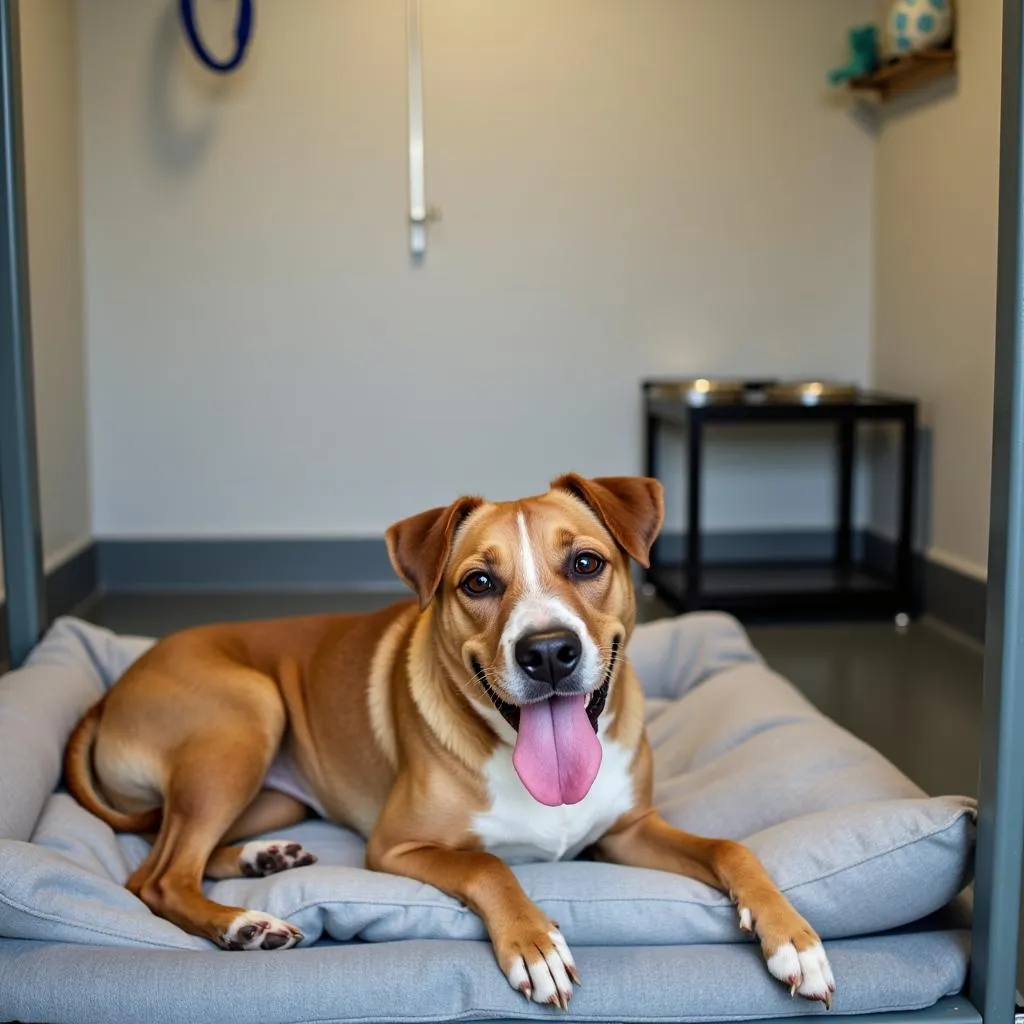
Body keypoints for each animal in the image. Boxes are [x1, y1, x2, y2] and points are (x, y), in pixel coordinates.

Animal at [64, 475, 831, 1011]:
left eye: (586, 564)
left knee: (184, 853)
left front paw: (793, 939)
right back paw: (243, 924)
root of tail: (109, 688)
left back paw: (263, 858)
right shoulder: (394, 846)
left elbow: (731, 846)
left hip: (271, 786)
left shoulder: (629, 831)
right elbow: (488, 866)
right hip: (246, 718)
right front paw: (534, 943)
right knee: (157, 875)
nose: (547, 652)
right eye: (478, 582)